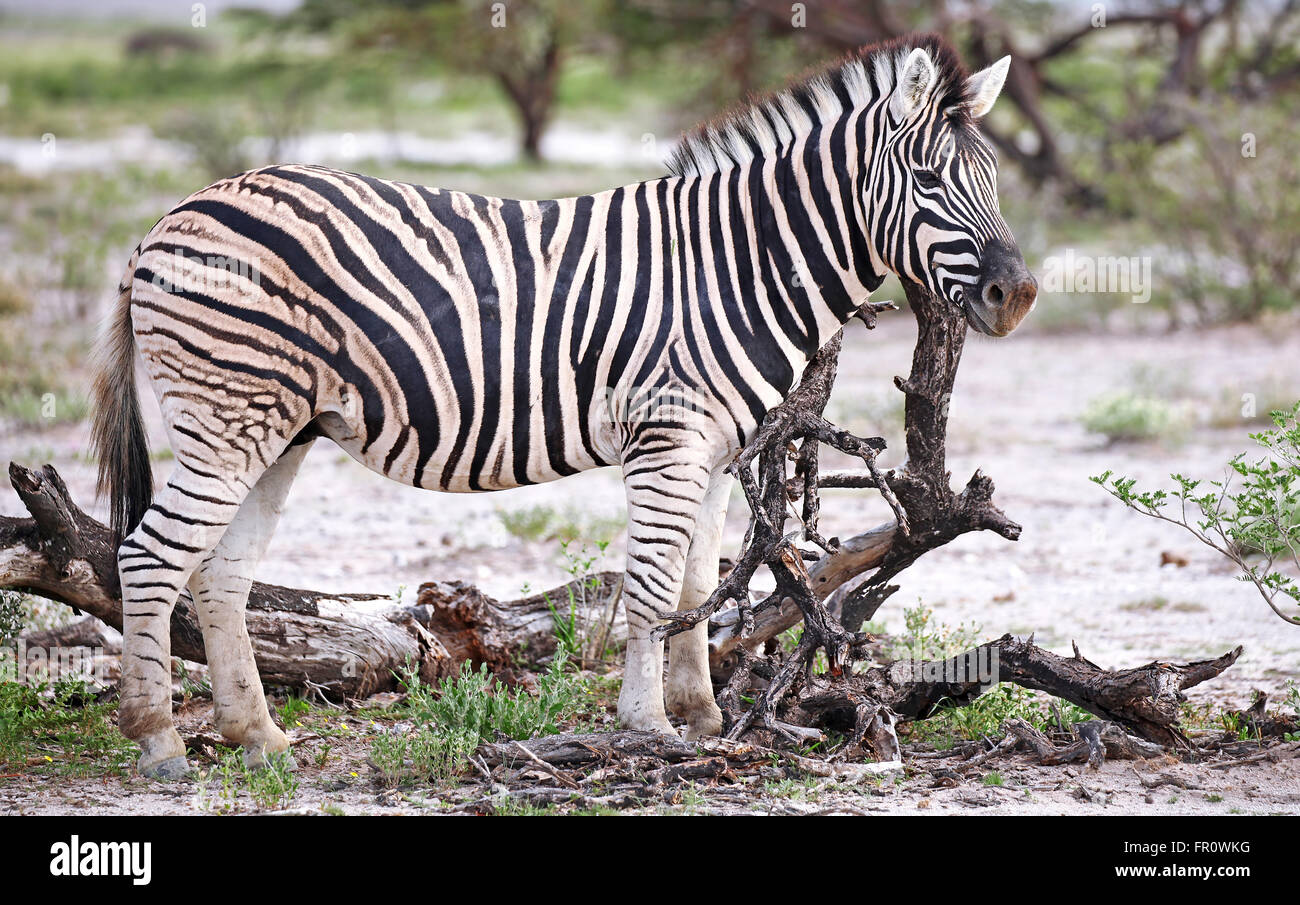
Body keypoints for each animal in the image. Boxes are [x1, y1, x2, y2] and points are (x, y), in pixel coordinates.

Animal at [91, 35, 1034, 780]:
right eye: (927, 178)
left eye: (993, 178)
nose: (1018, 295)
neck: (738, 263)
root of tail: (169, 218)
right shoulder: (667, 435)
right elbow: (650, 588)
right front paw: (646, 727)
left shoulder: (716, 450)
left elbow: (699, 583)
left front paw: (703, 717)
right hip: (226, 416)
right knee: (148, 559)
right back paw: (160, 741)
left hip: (275, 426)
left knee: (217, 573)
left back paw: (259, 738)